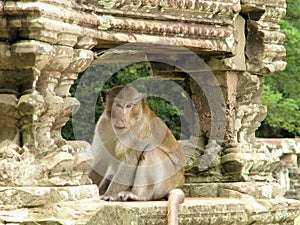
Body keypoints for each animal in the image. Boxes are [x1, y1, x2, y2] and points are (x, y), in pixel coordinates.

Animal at [86, 85, 185, 224]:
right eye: (118, 105)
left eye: (129, 106)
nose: (123, 118)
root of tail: (179, 183)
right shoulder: (103, 125)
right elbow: (100, 163)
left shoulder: (138, 130)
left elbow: (129, 163)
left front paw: (108, 195)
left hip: (168, 179)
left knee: (150, 151)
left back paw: (138, 195)